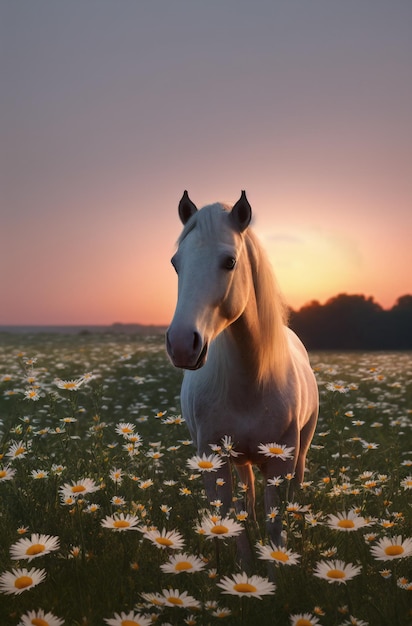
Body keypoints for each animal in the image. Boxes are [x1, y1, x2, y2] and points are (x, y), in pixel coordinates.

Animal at [167, 191, 318, 556]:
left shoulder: (281, 462)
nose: (181, 344)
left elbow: (276, 528)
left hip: (299, 455)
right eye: (176, 263)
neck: (251, 383)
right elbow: (234, 528)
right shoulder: (214, 461)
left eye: (230, 262)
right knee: (245, 504)